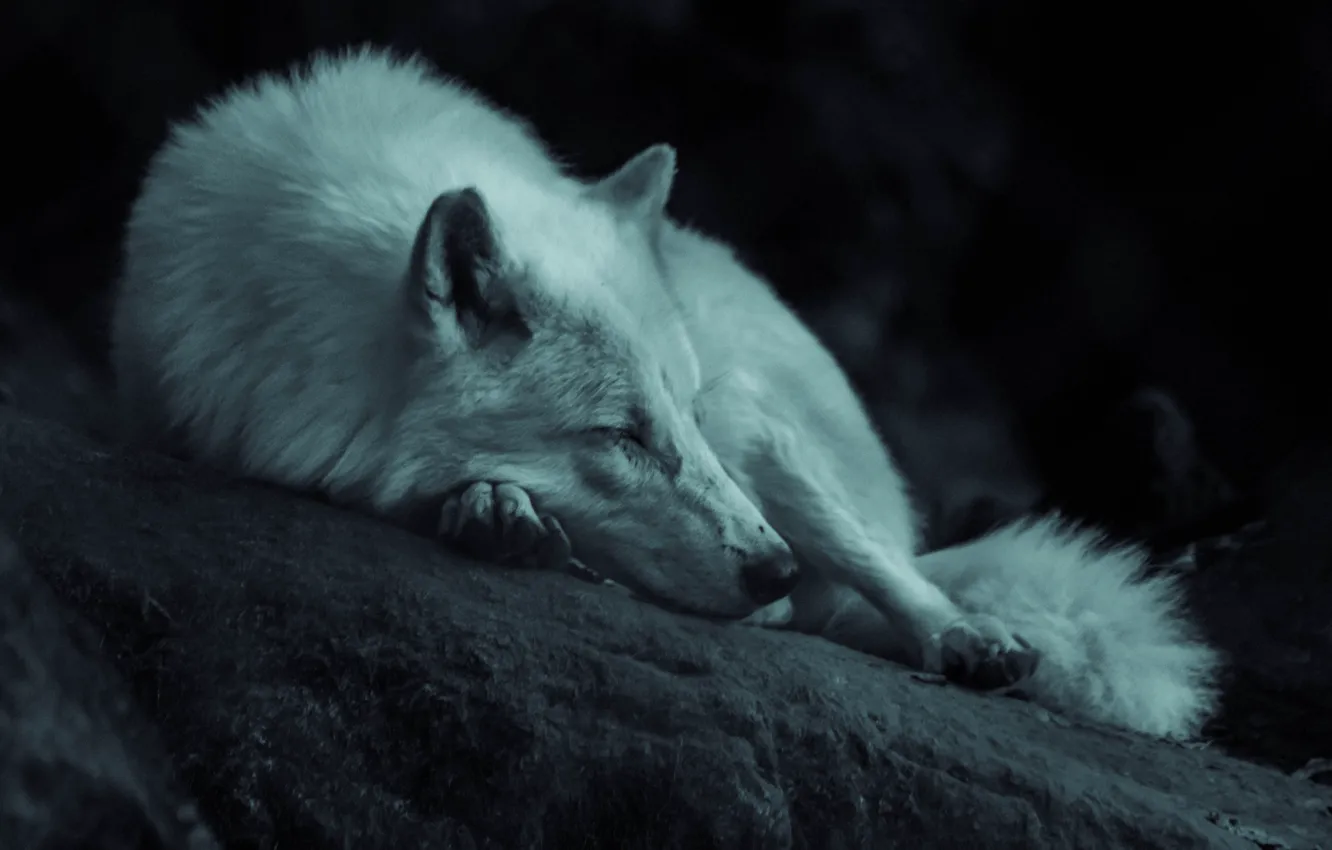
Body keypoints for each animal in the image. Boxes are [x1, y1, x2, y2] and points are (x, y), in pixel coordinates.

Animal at [111, 47, 1220, 738]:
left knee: (886, 573)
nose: (770, 567)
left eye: (676, 417)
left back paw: (965, 636)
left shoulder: (725, 423)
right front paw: (496, 510)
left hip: (768, 430)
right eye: (622, 435)